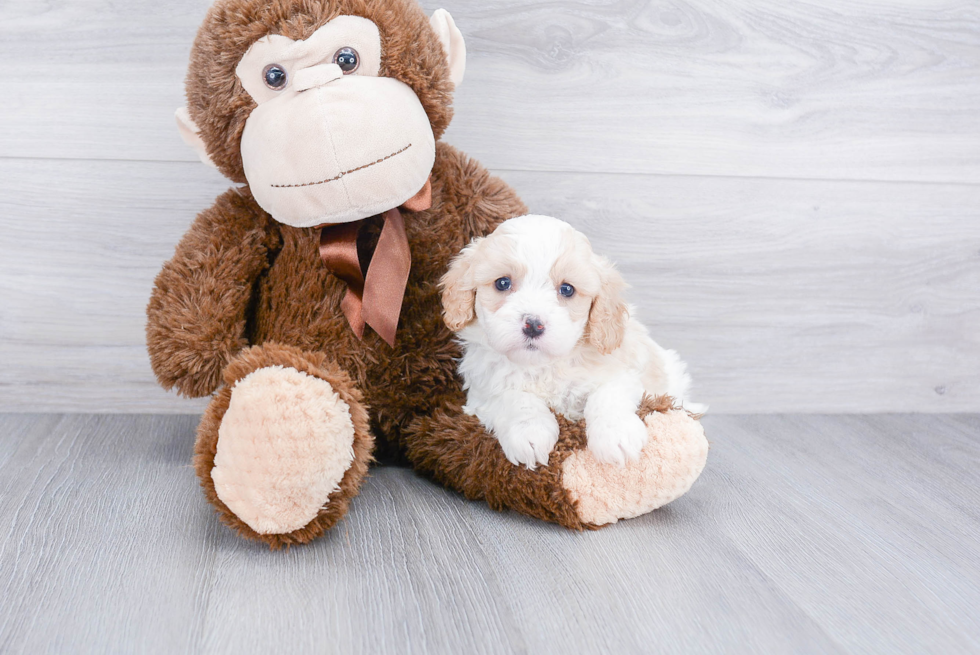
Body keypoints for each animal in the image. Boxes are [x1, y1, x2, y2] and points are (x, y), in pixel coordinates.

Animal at [438, 218, 704, 468]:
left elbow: (607, 395)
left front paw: (616, 437)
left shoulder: (623, 373)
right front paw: (529, 434)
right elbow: (514, 399)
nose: (533, 325)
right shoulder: (483, 391)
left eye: (567, 289)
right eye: (502, 283)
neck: (543, 366)